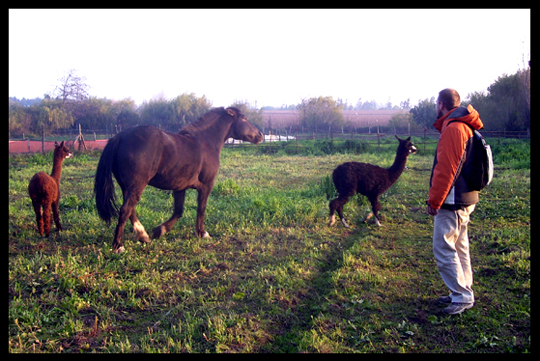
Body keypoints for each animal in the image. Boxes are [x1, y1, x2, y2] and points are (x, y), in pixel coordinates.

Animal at [95, 107, 264, 252]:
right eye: (244, 118)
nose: (260, 135)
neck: (206, 142)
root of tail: (119, 137)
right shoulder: (207, 185)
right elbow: (201, 208)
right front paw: (202, 233)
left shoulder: (179, 187)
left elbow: (178, 211)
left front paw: (160, 230)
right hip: (137, 185)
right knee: (125, 210)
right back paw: (119, 246)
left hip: (127, 187)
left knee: (130, 210)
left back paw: (143, 236)